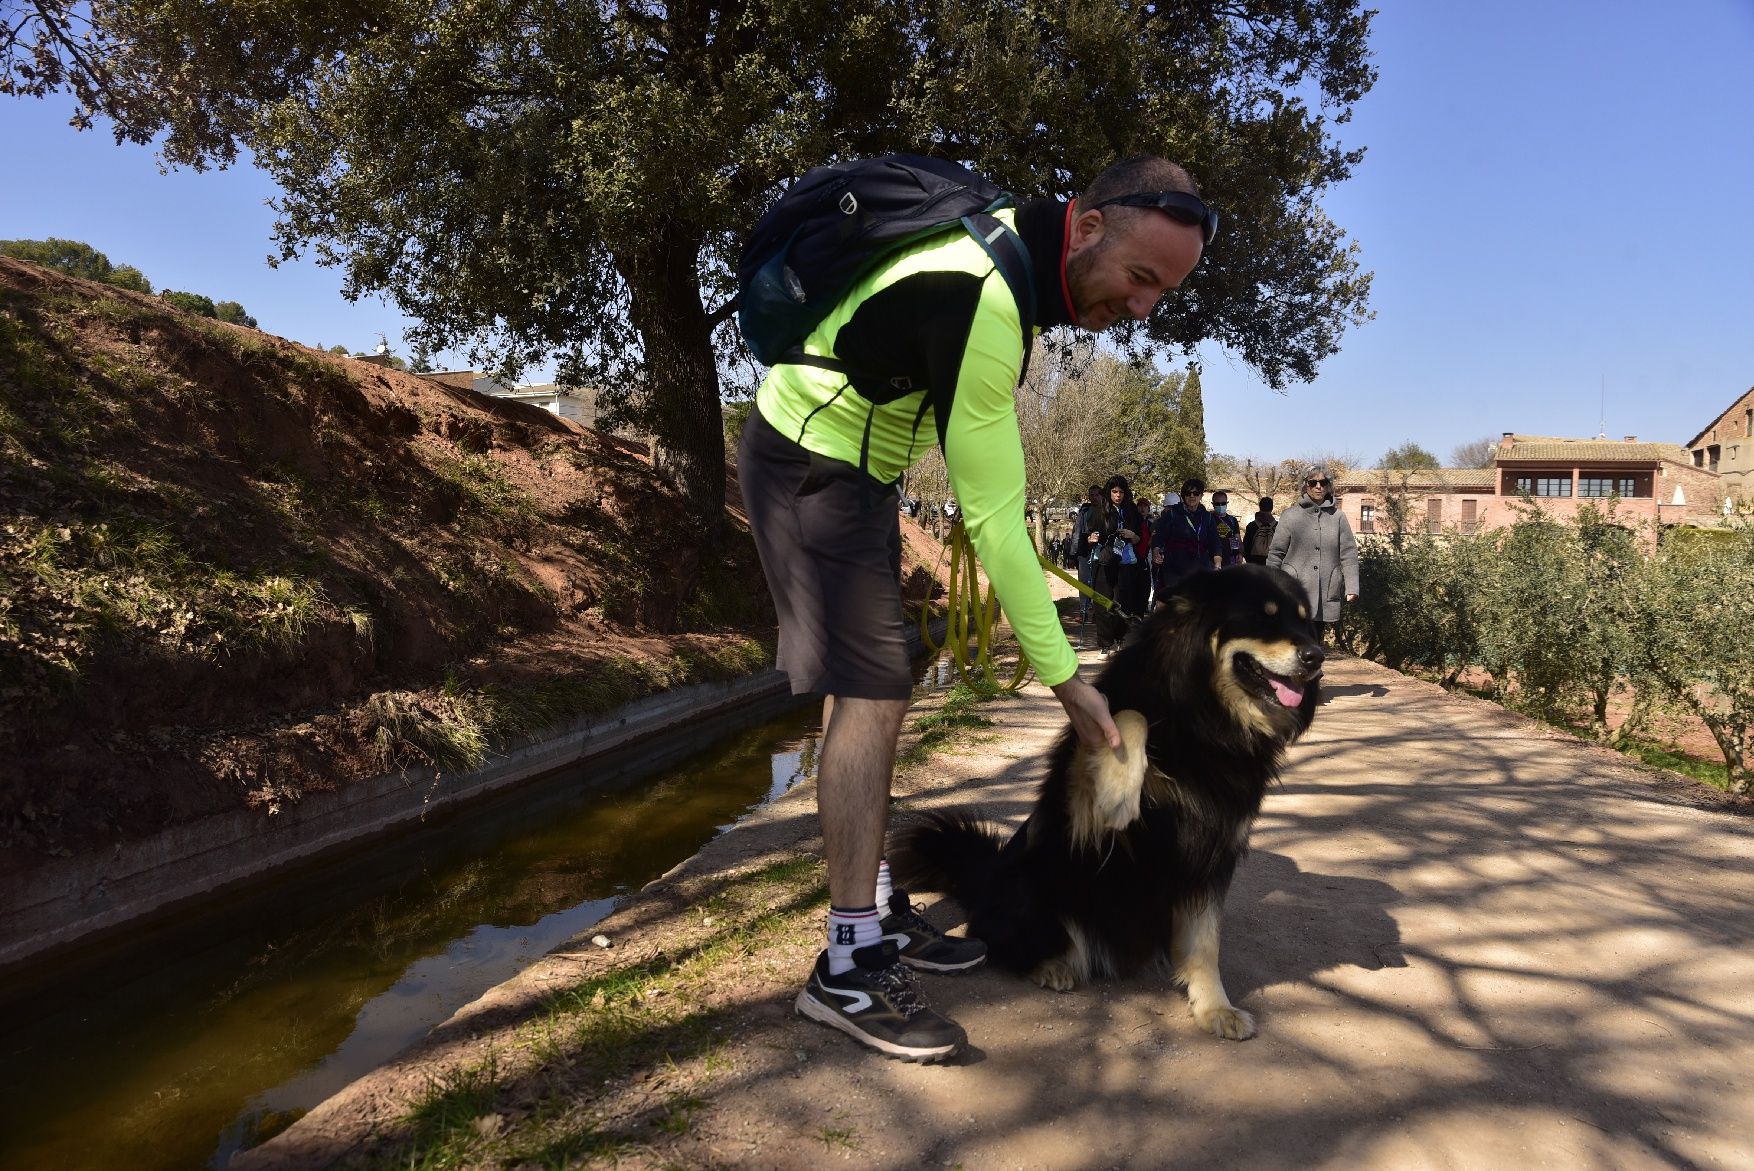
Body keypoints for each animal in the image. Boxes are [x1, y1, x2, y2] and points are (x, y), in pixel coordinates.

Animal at [898, 560, 1319, 1037]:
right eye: (1262, 618)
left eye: (1305, 621)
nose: (1317, 657)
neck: (1207, 722)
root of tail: (985, 879)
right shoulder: (1083, 819)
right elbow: (1127, 716)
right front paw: (1121, 790)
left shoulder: (1211, 857)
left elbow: (1205, 942)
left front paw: (1215, 1008)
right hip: (1037, 884)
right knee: (994, 938)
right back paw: (1049, 966)